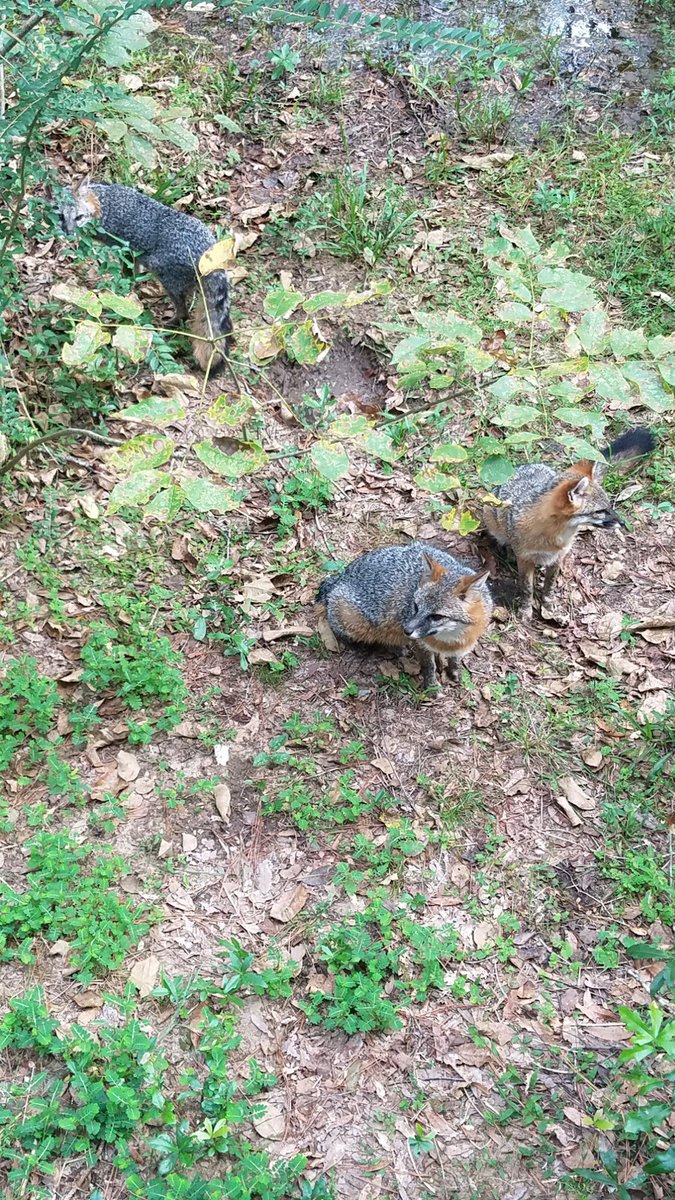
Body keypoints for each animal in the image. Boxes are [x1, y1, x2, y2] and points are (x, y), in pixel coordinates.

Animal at [314, 542, 487, 691]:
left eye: (437, 617)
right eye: (415, 606)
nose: (406, 630)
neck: (449, 639)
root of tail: (340, 577)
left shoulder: (463, 643)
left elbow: (455, 659)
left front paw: (454, 672)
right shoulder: (421, 644)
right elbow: (429, 666)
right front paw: (432, 687)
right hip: (357, 624)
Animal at [480, 427, 653, 619]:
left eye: (609, 506)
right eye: (600, 511)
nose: (622, 523)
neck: (553, 537)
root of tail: (521, 467)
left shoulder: (558, 557)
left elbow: (550, 585)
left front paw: (548, 607)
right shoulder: (525, 559)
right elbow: (527, 588)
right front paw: (525, 610)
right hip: (492, 519)